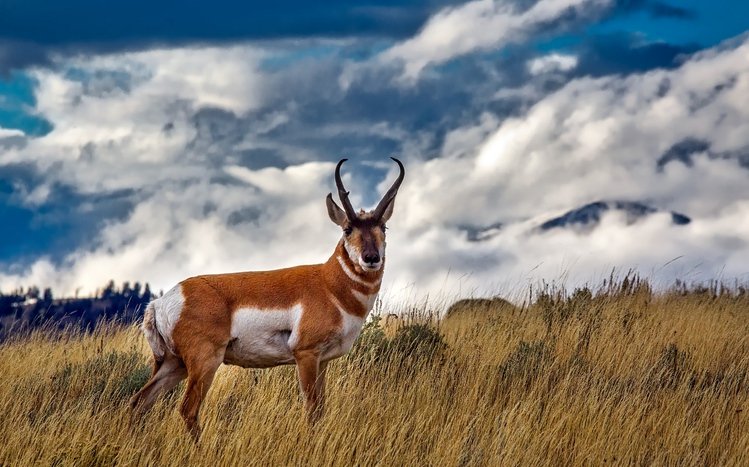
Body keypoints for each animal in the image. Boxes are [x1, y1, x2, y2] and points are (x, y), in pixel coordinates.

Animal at [130, 158, 404, 438]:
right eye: (348, 228)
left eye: (383, 227)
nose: (371, 258)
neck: (328, 284)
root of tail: (161, 302)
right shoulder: (306, 355)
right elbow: (312, 410)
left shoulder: (324, 361)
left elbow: (321, 409)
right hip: (204, 361)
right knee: (187, 409)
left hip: (174, 364)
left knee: (140, 401)